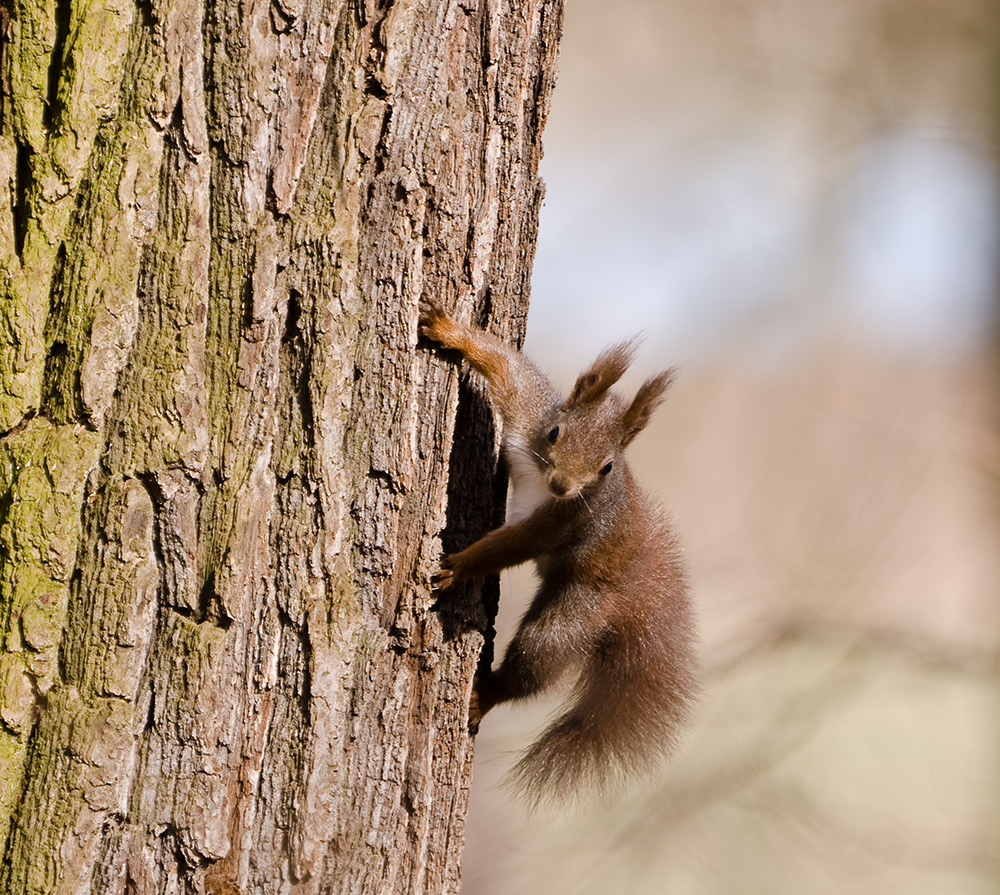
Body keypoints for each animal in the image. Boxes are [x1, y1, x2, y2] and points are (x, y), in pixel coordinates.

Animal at [420, 296, 696, 804]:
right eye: (554, 433)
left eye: (607, 467)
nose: (564, 485)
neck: (541, 478)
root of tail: (633, 589)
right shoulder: (527, 409)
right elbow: (506, 365)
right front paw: (448, 328)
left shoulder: (565, 521)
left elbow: (509, 547)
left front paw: (459, 567)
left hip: (575, 612)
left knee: (537, 660)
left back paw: (487, 694)